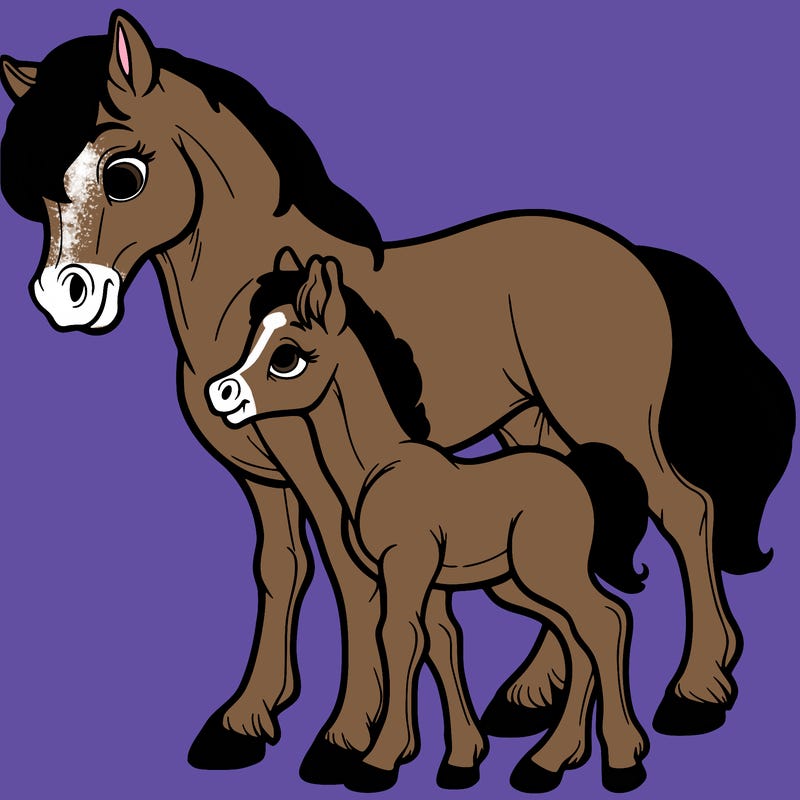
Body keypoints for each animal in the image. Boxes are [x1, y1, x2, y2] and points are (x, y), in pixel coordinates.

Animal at [206, 256, 651, 792]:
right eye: (251, 339)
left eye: (287, 356)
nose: (221, 393)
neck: (378, 466)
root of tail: (578, 474)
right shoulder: (431, 580)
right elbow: (441, 641)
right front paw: (460, 761)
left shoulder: (407, 564)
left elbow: (399, 638)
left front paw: (377, 762)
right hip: (515, 583)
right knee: (575, 637)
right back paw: (549, 761)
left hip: (547, 572)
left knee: (607, 620)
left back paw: (622, 761)